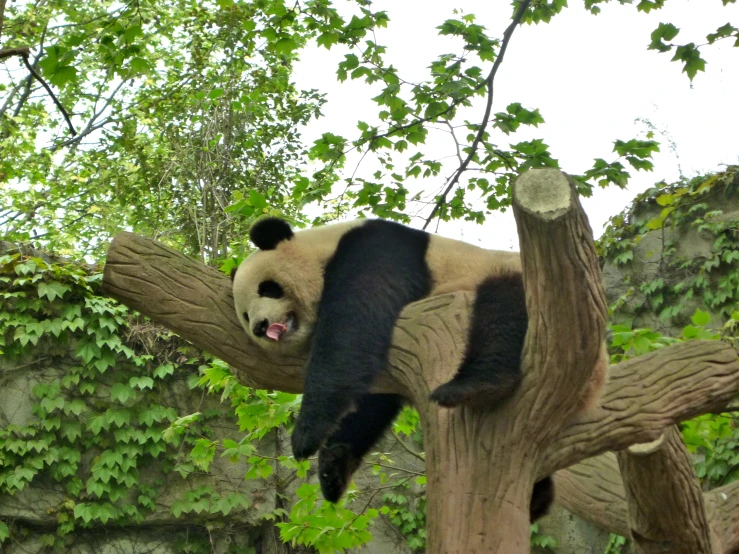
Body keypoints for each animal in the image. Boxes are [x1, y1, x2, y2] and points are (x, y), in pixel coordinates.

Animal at [233, 215, 608, 516]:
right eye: (245, 316)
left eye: (269, 288)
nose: (261, 327)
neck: (325, 245)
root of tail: (593, 383)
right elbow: (371, 401)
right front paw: (332, 466)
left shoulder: (376, 249)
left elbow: (354, 325)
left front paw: (306, 435)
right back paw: (537, 498)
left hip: (520, 288)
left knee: (503, 310)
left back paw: (475, 385)